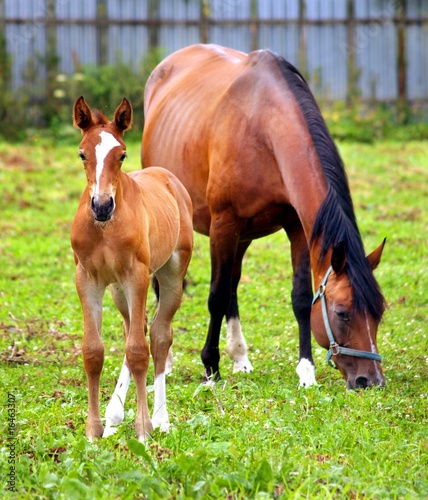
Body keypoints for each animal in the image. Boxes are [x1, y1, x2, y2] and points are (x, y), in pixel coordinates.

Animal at [71, 95, 192, 440]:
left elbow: (139, 351)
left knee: (160, 336)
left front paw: (144, 428)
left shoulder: (136, 275)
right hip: (117, 289)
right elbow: (93, 351)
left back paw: (162, 418)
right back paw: (114, 415)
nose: (101, 206)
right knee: (133, 329)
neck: (105, 228)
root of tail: (166, 176)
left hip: (170, 275)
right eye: (82, 153)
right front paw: (93, 430)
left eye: (122, 154)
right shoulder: (87, 278)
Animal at [144, 44, 388, 390]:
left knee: (233, 282)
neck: (263, 128)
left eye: (378, 313)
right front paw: (210, 367)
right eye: (342, 313)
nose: (371, 380)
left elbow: (300, 297)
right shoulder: (223, 224)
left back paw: (240, 357)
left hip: (243, 235)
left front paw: (306, 370)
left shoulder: (297, 227)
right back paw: (167, 361)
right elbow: (216, 296)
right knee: (171, 285)